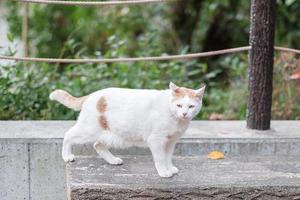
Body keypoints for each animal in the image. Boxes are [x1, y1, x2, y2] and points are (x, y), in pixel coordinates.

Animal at [50, 82, 205, 177]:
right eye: (179, 105)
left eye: (191, 106)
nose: (184, 113)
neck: (175, 118)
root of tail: (93, 95)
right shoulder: (156, 140)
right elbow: (161, 158)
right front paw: (164, 172)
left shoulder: (171, 141)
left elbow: (168, 157)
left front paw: (170, 168)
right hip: (88, 130)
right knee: (68, 135)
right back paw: (66, 156)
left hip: (111, 135)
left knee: (98, 145)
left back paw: (112, 160)